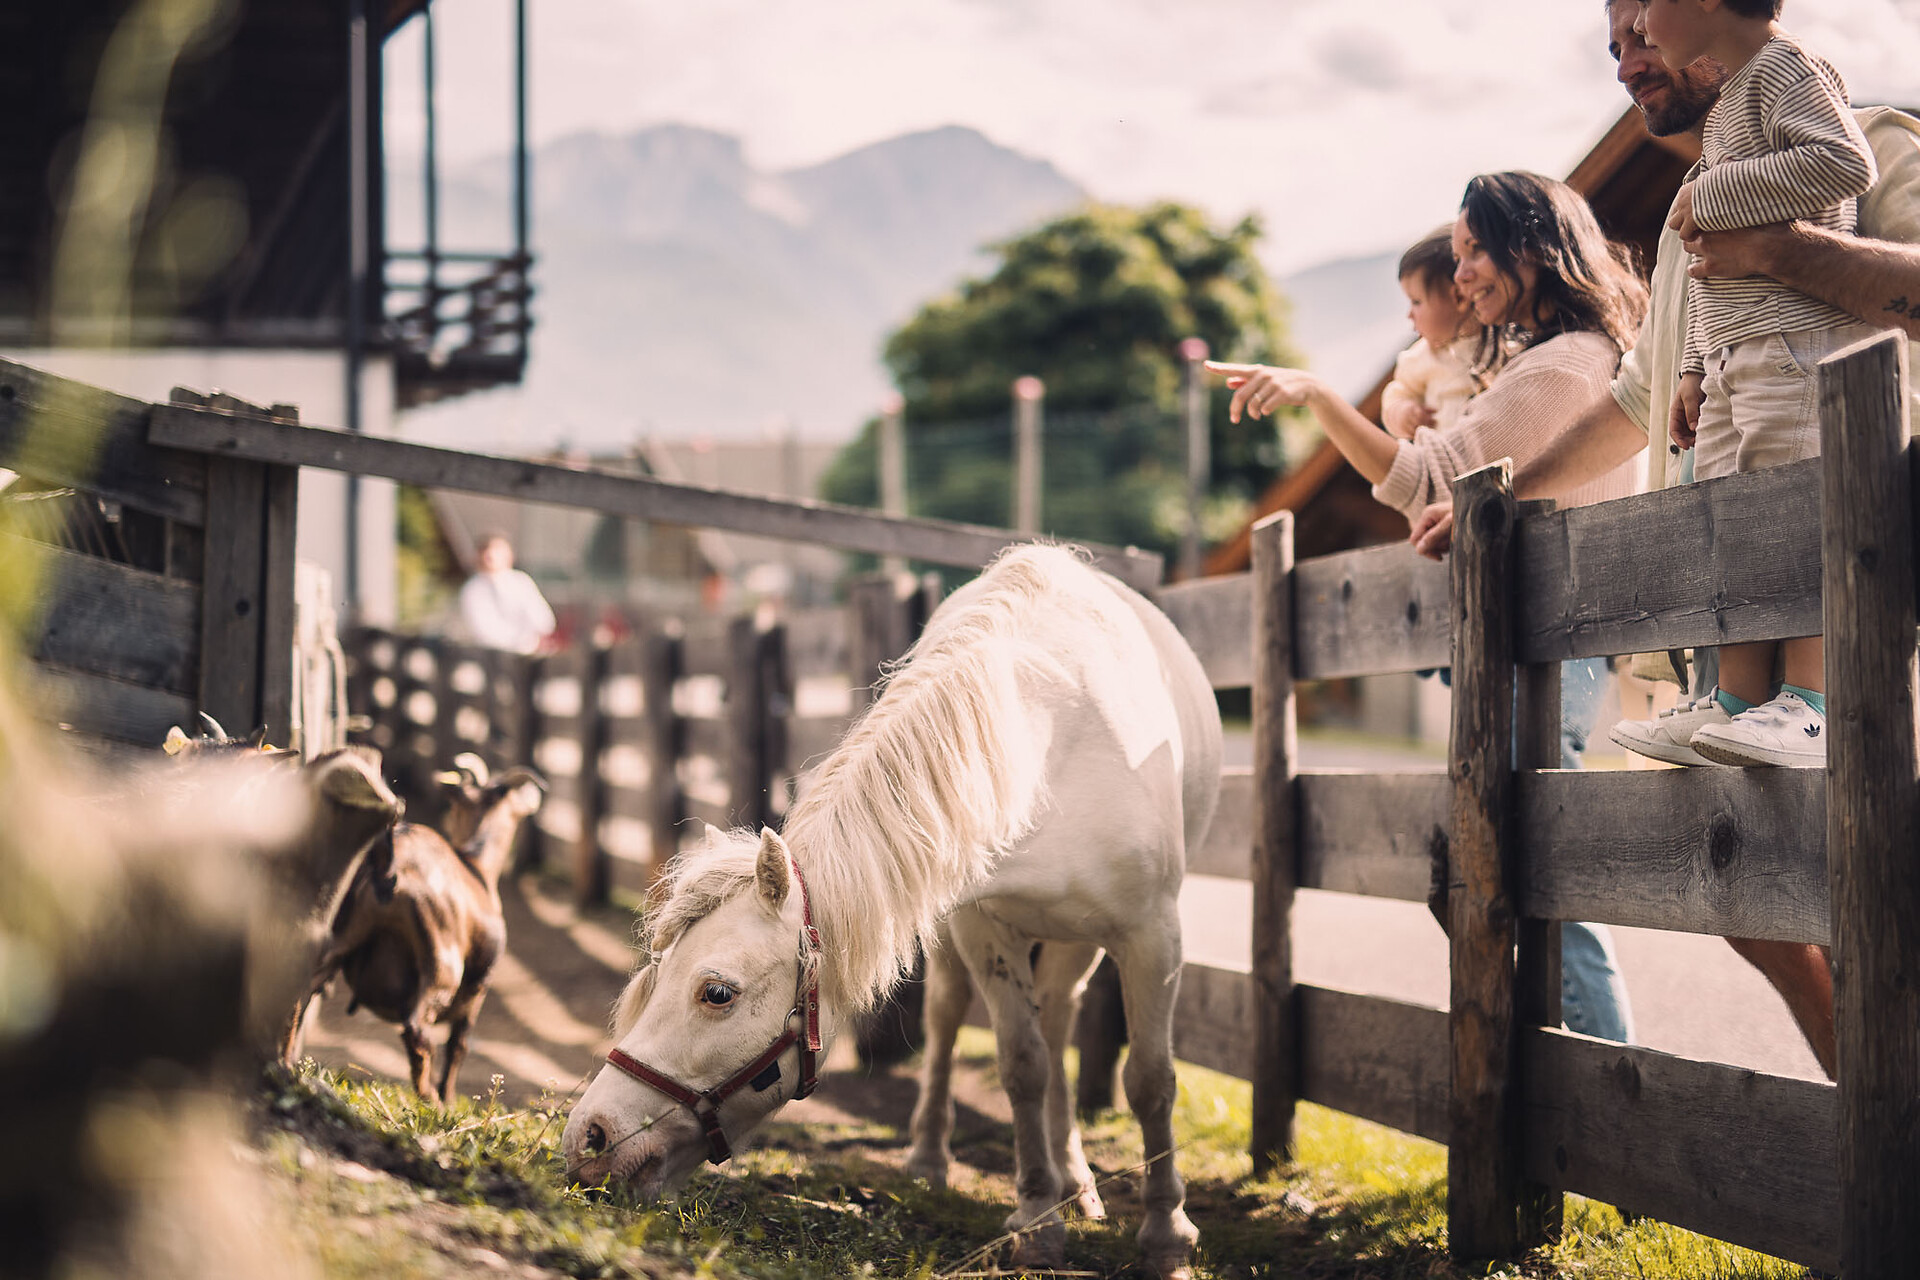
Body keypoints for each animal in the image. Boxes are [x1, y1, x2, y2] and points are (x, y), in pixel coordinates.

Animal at [307, 759, 545, 1105]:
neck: (477, 865)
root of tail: (389, 866)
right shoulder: (478, 989)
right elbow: (459, 1045)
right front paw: (449, 1098)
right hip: (442, 967)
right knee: (416, 1031)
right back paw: (431, 1097)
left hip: (341, 937)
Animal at [560, 545, 1221, 1280]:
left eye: (717, 993)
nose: (589, 1137)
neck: (1052, 752)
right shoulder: (984, 926)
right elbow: (1023, 1066)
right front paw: (1036, 1221)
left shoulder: (1152, 934)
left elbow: (1151, 1080)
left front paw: (1166, 1232)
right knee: (959, 1019)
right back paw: (944, 1158)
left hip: (1080, 938)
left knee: (1061, 1018)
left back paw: (1078, 1180)